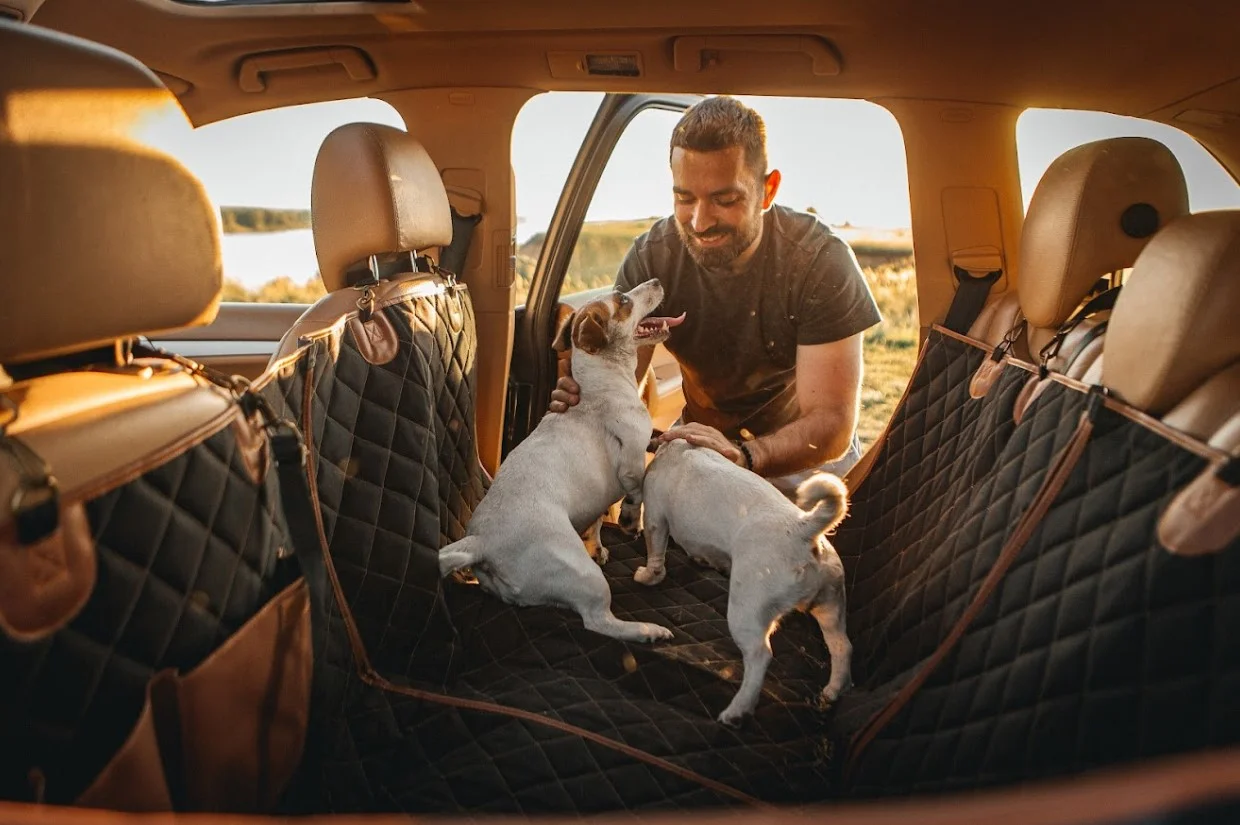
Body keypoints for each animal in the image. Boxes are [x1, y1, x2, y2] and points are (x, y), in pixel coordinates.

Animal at [438, 277, 689, 645]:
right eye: (623, 300)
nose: (657, 280)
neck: (601, 383)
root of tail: (483, 542)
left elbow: (598, 518)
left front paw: (597, 543)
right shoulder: (631, 459)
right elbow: (637, 489)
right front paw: (630, 519)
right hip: (585, 577)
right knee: (597, 620)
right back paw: (647, 630)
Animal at [639, 436, 853, 719]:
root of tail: (804, 529)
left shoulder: (654, 518)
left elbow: (655, 557)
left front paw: (646, 577)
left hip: (747, 612)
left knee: (760, 656)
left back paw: (736, 710)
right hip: (831, 606)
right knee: (842, 646)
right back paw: (832, 691)